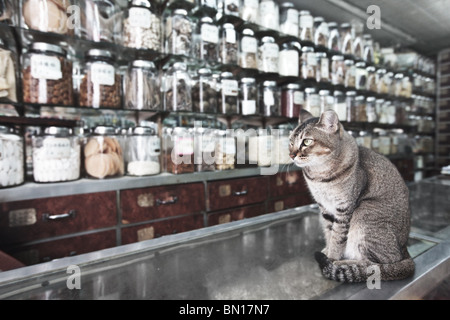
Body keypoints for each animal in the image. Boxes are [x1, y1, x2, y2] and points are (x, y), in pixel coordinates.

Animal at [290, 110, 414, 282]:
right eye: (290, 142)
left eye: (307, 142)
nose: (291, 155)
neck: (319, 176)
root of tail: (405, 249)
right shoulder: (325, 208)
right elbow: (329, 232)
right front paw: (328, 250)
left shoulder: (344, 208)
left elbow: (338, 237)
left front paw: (332, 258)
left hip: (365, 212)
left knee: (377, 264)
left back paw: (343, 264)